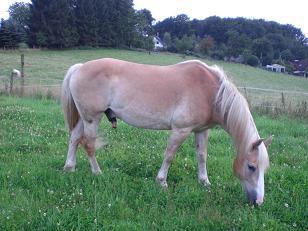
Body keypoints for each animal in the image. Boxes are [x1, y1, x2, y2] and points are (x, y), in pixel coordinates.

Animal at [61, 58, 274, 205]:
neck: (210, 92)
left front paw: (204, 182)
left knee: (74, 139)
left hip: (83, 118)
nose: (258, 202)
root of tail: (79, 67)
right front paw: (161, 181)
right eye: (251, 167)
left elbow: (202, 156)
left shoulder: (201, 131)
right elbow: (170, 155)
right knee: (88, 144)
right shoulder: (181, 130)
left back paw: (69, 167)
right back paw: (97, 172)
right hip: (92, 118)